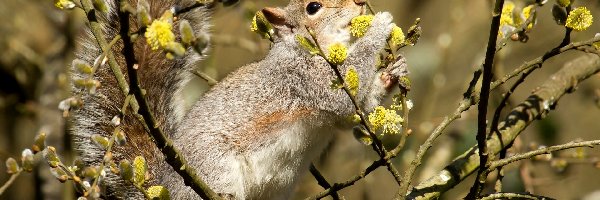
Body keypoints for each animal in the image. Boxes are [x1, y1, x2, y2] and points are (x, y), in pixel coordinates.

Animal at [71, 0, 408, 198]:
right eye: (313, 6)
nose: (360, 2)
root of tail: (164, 185)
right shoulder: (301, 78)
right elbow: (341, 92)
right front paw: (380, 26)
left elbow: (353, 111)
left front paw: (393, 73)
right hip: (214, 168)